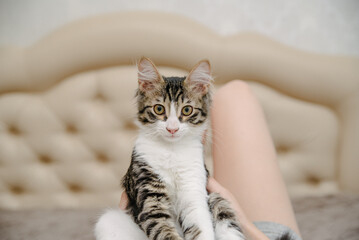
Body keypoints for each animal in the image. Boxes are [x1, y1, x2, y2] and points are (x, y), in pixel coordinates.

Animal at [95, 58, 245, 240]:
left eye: (187, 110)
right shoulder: (150, 196)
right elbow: (164, 231)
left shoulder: (194, 190)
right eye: (159, 109)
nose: (172, 128)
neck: (172, 151)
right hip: (109, 221)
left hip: (218, 198)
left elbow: (200, 227)